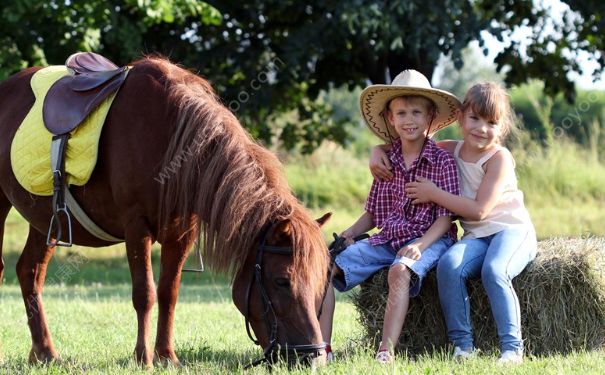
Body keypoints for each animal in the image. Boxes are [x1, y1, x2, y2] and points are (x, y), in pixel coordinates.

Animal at [0, 57, 330, 368]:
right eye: (281, 281)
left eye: (320, 281)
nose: (312, 356)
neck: (170, 137)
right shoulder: (136, 227)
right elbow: (144, 293)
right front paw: (142, 357)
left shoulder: (181, 234)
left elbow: (168, 293)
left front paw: (166, 356)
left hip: (45, 220)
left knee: (29, 272)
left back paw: (45, 353)